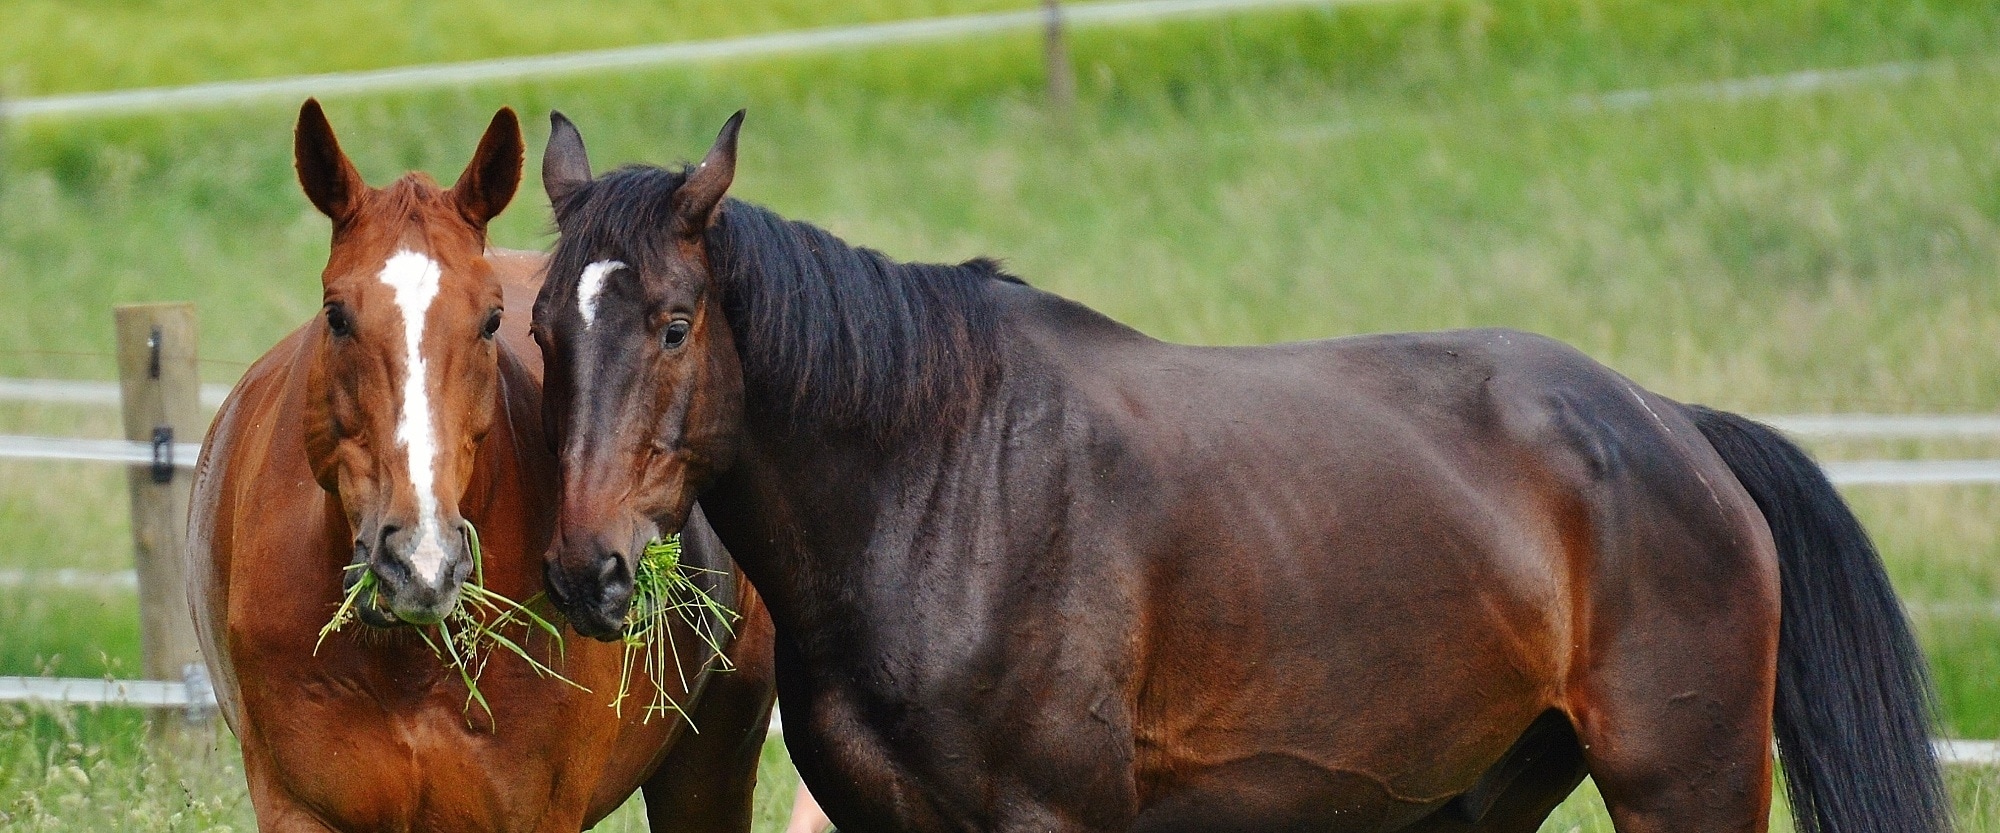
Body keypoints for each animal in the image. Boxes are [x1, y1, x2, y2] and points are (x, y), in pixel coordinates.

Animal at [188, 104, 776, 832]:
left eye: (493, 320)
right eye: (337, 315)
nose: (421, 561)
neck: (407, 664)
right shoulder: (294, 807)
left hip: (710, 768)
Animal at [524, 112, 1944, 832]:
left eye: (671, 324)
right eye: (540, 328)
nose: (589, 571)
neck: (938, 489)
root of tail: (1672, 429)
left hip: (1681, 785)